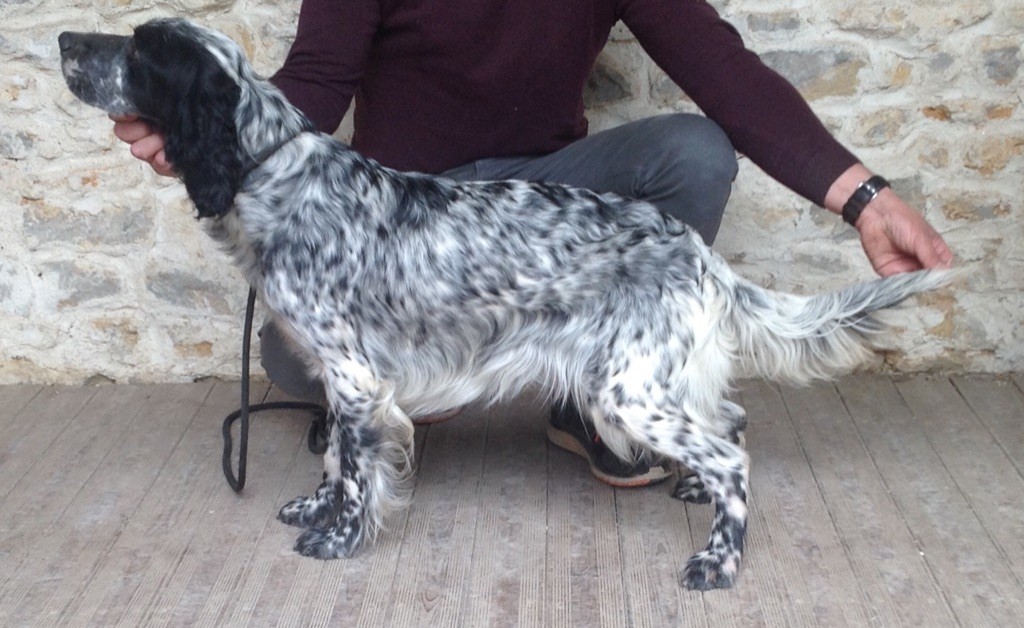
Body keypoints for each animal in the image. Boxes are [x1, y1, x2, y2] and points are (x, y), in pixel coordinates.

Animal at [59, 18, 946, 585]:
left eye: (140, 49)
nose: (65, 41)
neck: (272, 168)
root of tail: (696, 248)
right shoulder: (345, 377)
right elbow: (336, 458)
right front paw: (312, 507)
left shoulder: (355, 375)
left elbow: (357, 473)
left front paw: (337, 539)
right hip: (656, 377)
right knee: (728, 420)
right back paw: (692, 490)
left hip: (624, 388)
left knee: (731, 455)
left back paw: (717, 561)